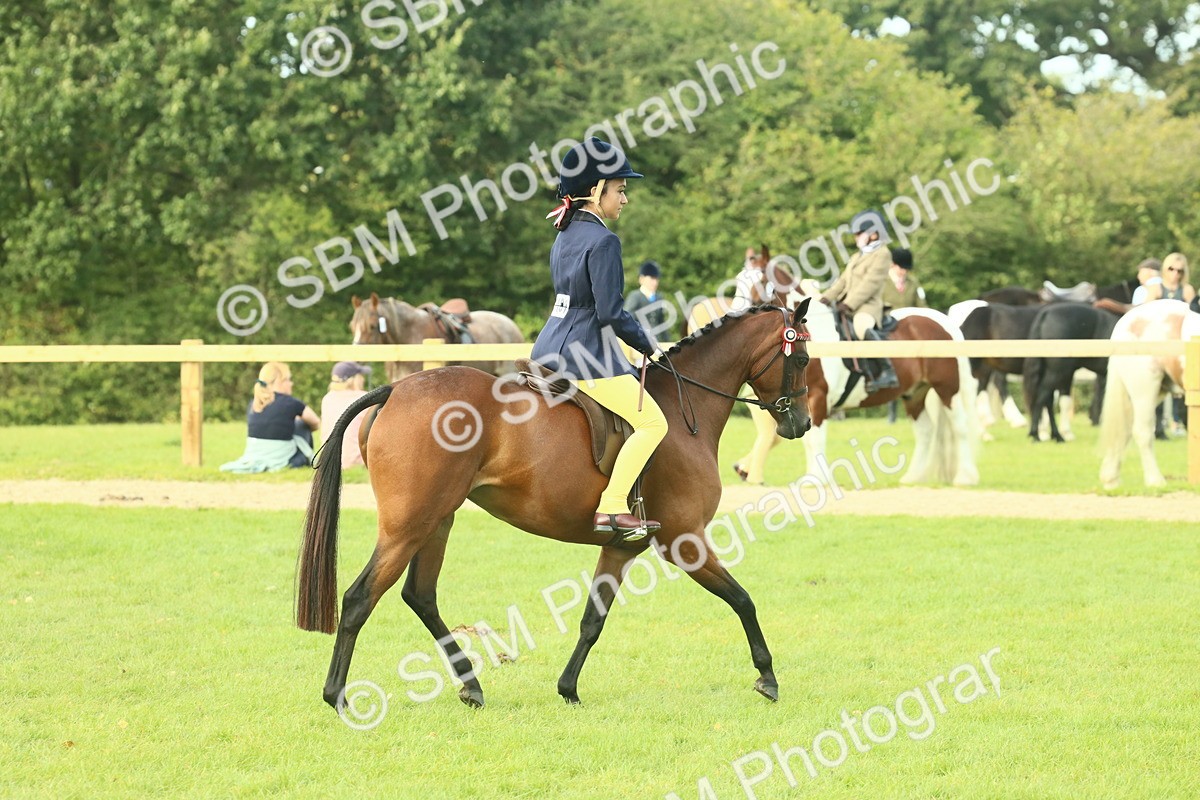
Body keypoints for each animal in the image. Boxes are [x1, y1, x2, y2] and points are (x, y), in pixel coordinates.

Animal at [1021, 303, 1119, 442]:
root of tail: (1047, 313)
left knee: (1048, 400)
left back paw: (1057, 436)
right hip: (1058, 372)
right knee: (1041, 398)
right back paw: (1037, 435)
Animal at [1099, 299, 1200, 488]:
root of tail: (1126, 321)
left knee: (1126, 429)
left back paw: (1111, 478)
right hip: (1144, 390)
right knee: (1142, 431)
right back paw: (1155, 480)